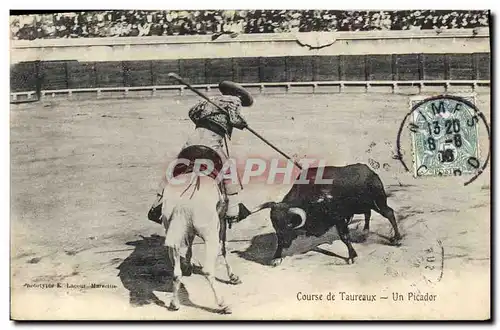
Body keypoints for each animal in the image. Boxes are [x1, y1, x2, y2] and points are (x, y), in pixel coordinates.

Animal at [159, 170, 239, 314]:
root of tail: (182, 201)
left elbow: (190, 242)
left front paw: (188, 264)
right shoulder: (222, 220)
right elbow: (224, 247)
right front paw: (232, 276)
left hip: (172, 236)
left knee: (176, 273)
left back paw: (174, 303)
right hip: (211, 237)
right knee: (207, 270)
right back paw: (223, 304)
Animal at [246, 163, 402, 266]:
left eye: (289, 224)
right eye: (275, 224)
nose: (285, 243)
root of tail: (370, 171)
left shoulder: (339, 219)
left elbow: (345, 237)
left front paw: (352, 256)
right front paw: (276, 257)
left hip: (378, 202)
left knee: (389, 213)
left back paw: (396, 238)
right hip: (364, 206)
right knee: (368, 213)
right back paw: (365, 231)